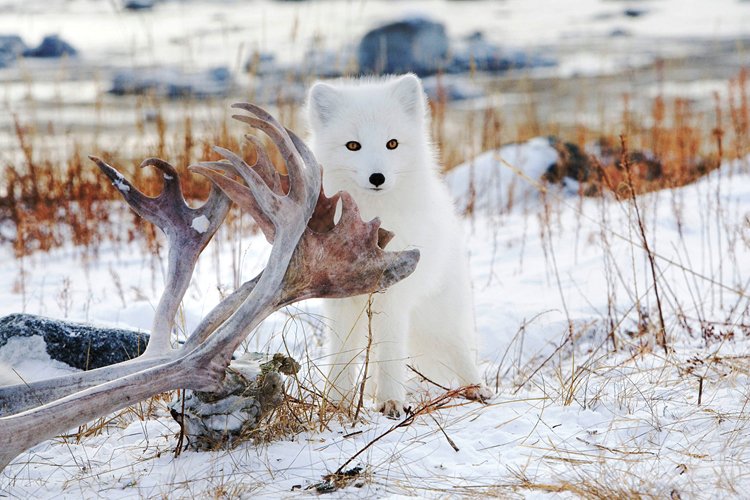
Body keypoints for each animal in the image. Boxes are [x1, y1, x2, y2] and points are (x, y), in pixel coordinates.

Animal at [306, 73, 494, 418]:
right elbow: (342, 354)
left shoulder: (393, 295)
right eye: (353, 145)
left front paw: (391, 401)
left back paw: (476, 388)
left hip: (438, 313)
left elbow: (391, 352)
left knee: (458, 346)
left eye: (391, 143)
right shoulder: (339, 300)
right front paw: (335, 403)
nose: (377, 177)